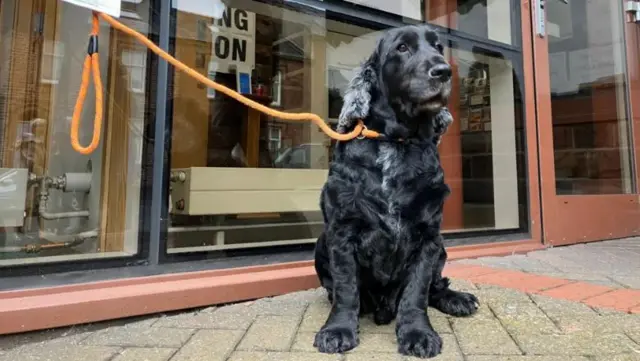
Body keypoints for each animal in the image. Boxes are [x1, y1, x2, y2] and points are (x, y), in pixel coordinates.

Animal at [312, 23, 478, 358]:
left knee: (435, 287)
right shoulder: (342, 231)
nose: (444, 71)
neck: (395, 143)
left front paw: (418, 334)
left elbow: (417, 292)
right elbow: (346, 288)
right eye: (402, 48)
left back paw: (458, 299)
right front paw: (337, 330)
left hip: (442, 248)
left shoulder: (428, 237)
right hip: (320, 243)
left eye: (438, 47)